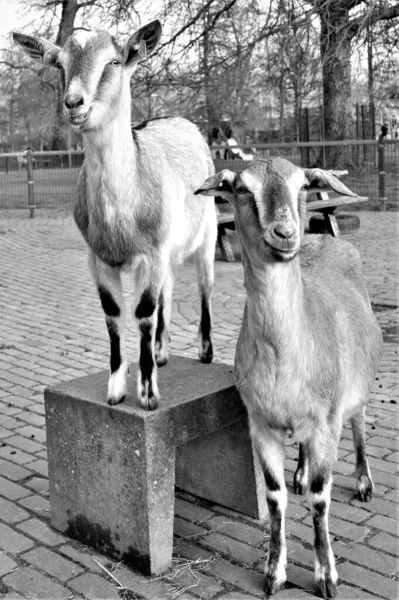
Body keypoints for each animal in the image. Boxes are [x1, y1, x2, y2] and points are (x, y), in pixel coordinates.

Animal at [13, 21, 219, 410]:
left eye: (114, 61)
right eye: (59, 64)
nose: (74, 103)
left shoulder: (151, 254)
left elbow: (143, 314)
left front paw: (148, 393)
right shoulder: (99, 257)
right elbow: (113, 314)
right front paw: (116, 388)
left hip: (208, 233)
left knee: (204, 285)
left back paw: (204, 351)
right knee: (168, 291)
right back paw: (162, 351)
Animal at [197, 157, 384, 596]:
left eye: (302, 185)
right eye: (241, 188)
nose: (285, 234)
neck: (285, 358)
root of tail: (327, 240)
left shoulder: (327, 422)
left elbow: (320, 499)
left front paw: (327, 577)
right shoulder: (260, 423)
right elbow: (274, 496)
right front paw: (273, 573)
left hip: (357, 387)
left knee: (360, 425)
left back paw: (364, 483)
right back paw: (299, 471)